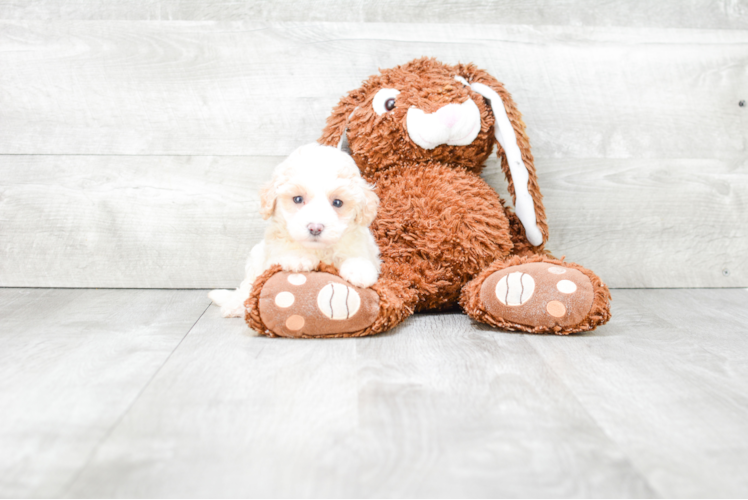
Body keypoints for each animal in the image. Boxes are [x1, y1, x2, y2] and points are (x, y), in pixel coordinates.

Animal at [207, 143, 380, 318]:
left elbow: (356, 256)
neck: (318, 250)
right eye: (297, 199)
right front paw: (299, 258)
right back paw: (235, 306)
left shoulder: (359, 244)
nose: (315, 227)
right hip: (255, 261)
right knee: (247, 286)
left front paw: (360, 271)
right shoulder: (274, 252)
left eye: (337, 202)